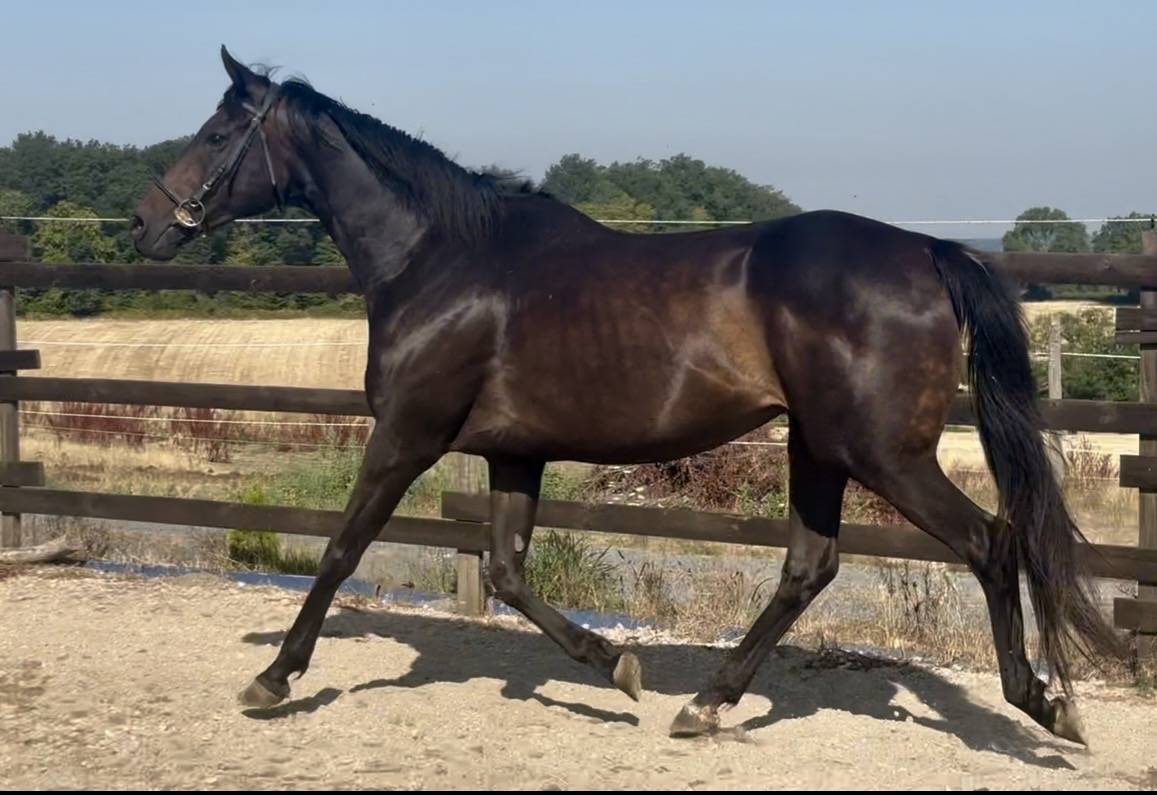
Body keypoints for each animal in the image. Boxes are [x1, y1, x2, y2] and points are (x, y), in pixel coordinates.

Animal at [130, 46, 1123, 744]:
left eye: (216, 134)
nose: (145, 223)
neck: (440, 259)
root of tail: (925, 249)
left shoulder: (408, 432)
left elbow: (341, 549)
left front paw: (273, 679)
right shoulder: (514, 452)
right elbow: (505, 569)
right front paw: (616, 666)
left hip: (881, 452)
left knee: (988, 542)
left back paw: (1041, 705)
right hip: (819, 447)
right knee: (809, 567)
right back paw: (706, 704)